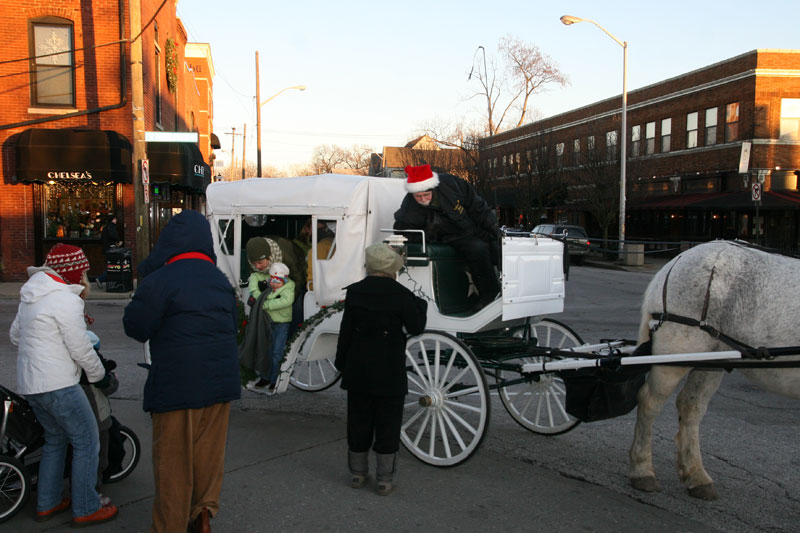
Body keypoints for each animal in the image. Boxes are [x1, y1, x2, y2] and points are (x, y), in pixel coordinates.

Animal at [632, 241, 800, 498]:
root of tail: (678, 259)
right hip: (676, 353)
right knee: (649, 402)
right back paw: (642, 470)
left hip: (711, 359)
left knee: (690, 407)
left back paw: (696, 476)